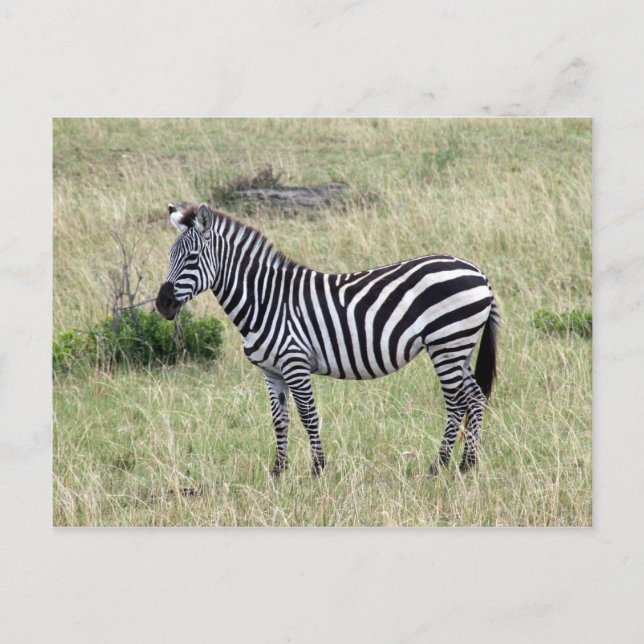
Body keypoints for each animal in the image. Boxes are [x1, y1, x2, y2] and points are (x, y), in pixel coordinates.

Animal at [156, 202, 499, 476]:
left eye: (193, 257)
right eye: (169, 256)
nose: (162, 304)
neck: (265, 299)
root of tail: (478, 272)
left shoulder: (295, 363)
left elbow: (308, 416)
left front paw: (318, 469)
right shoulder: (271, 371)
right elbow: (279, 419)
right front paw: (278, 471)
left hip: (447, 343)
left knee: (456, 403)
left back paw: (437, 466)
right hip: (460, 346)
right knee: (475, 397)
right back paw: (467, 464)